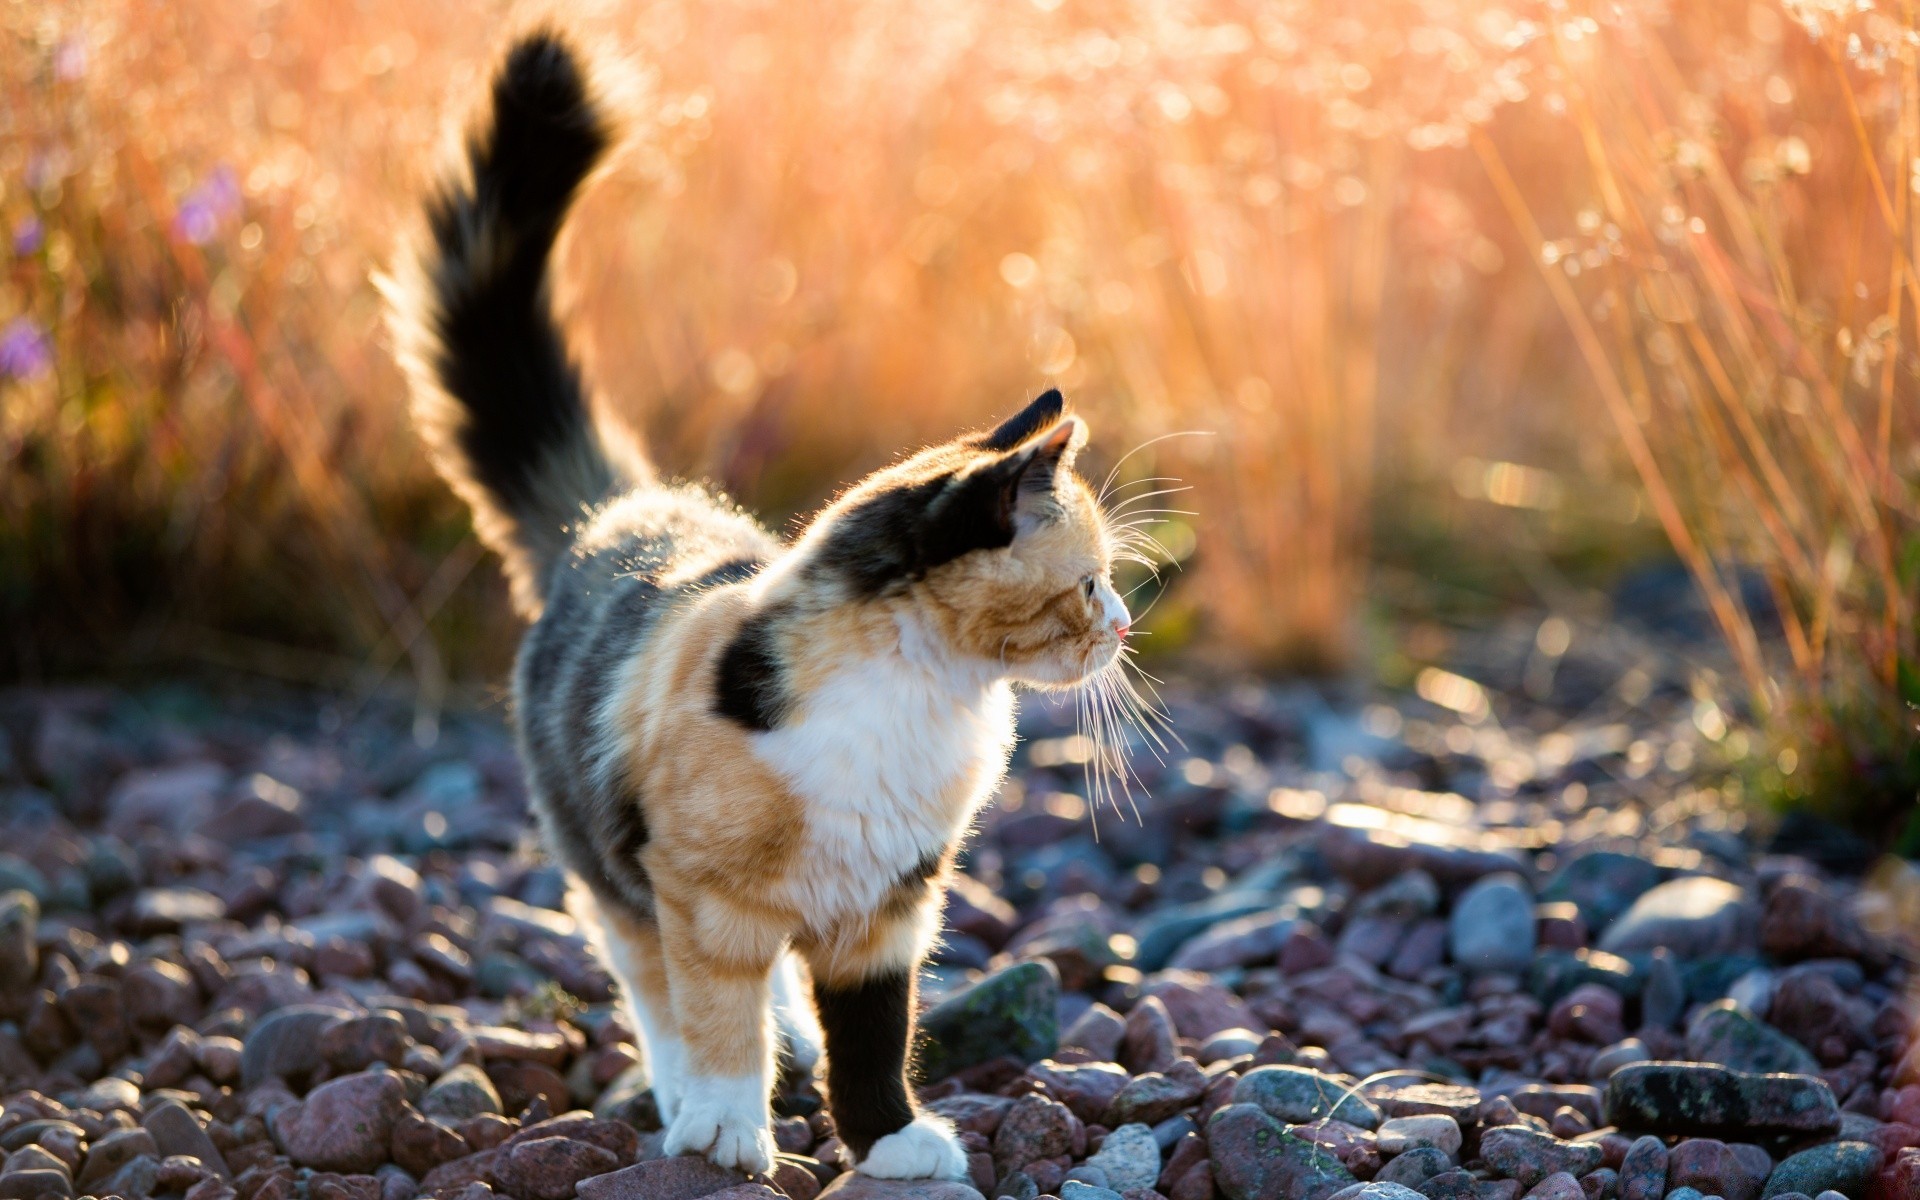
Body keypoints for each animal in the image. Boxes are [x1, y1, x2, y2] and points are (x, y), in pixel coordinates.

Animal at [382, 28, 1128, 1182]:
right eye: (1090, 583)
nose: (1125, 626)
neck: (918, 699)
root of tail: (622, 509)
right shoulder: (703, 896)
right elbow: (715, 1015)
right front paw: (729, 1130)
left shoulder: (891, 905)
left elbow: (872, 1034)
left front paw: (889, 1139)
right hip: (610, 871)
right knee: (655, 992)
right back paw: (689, 1097)